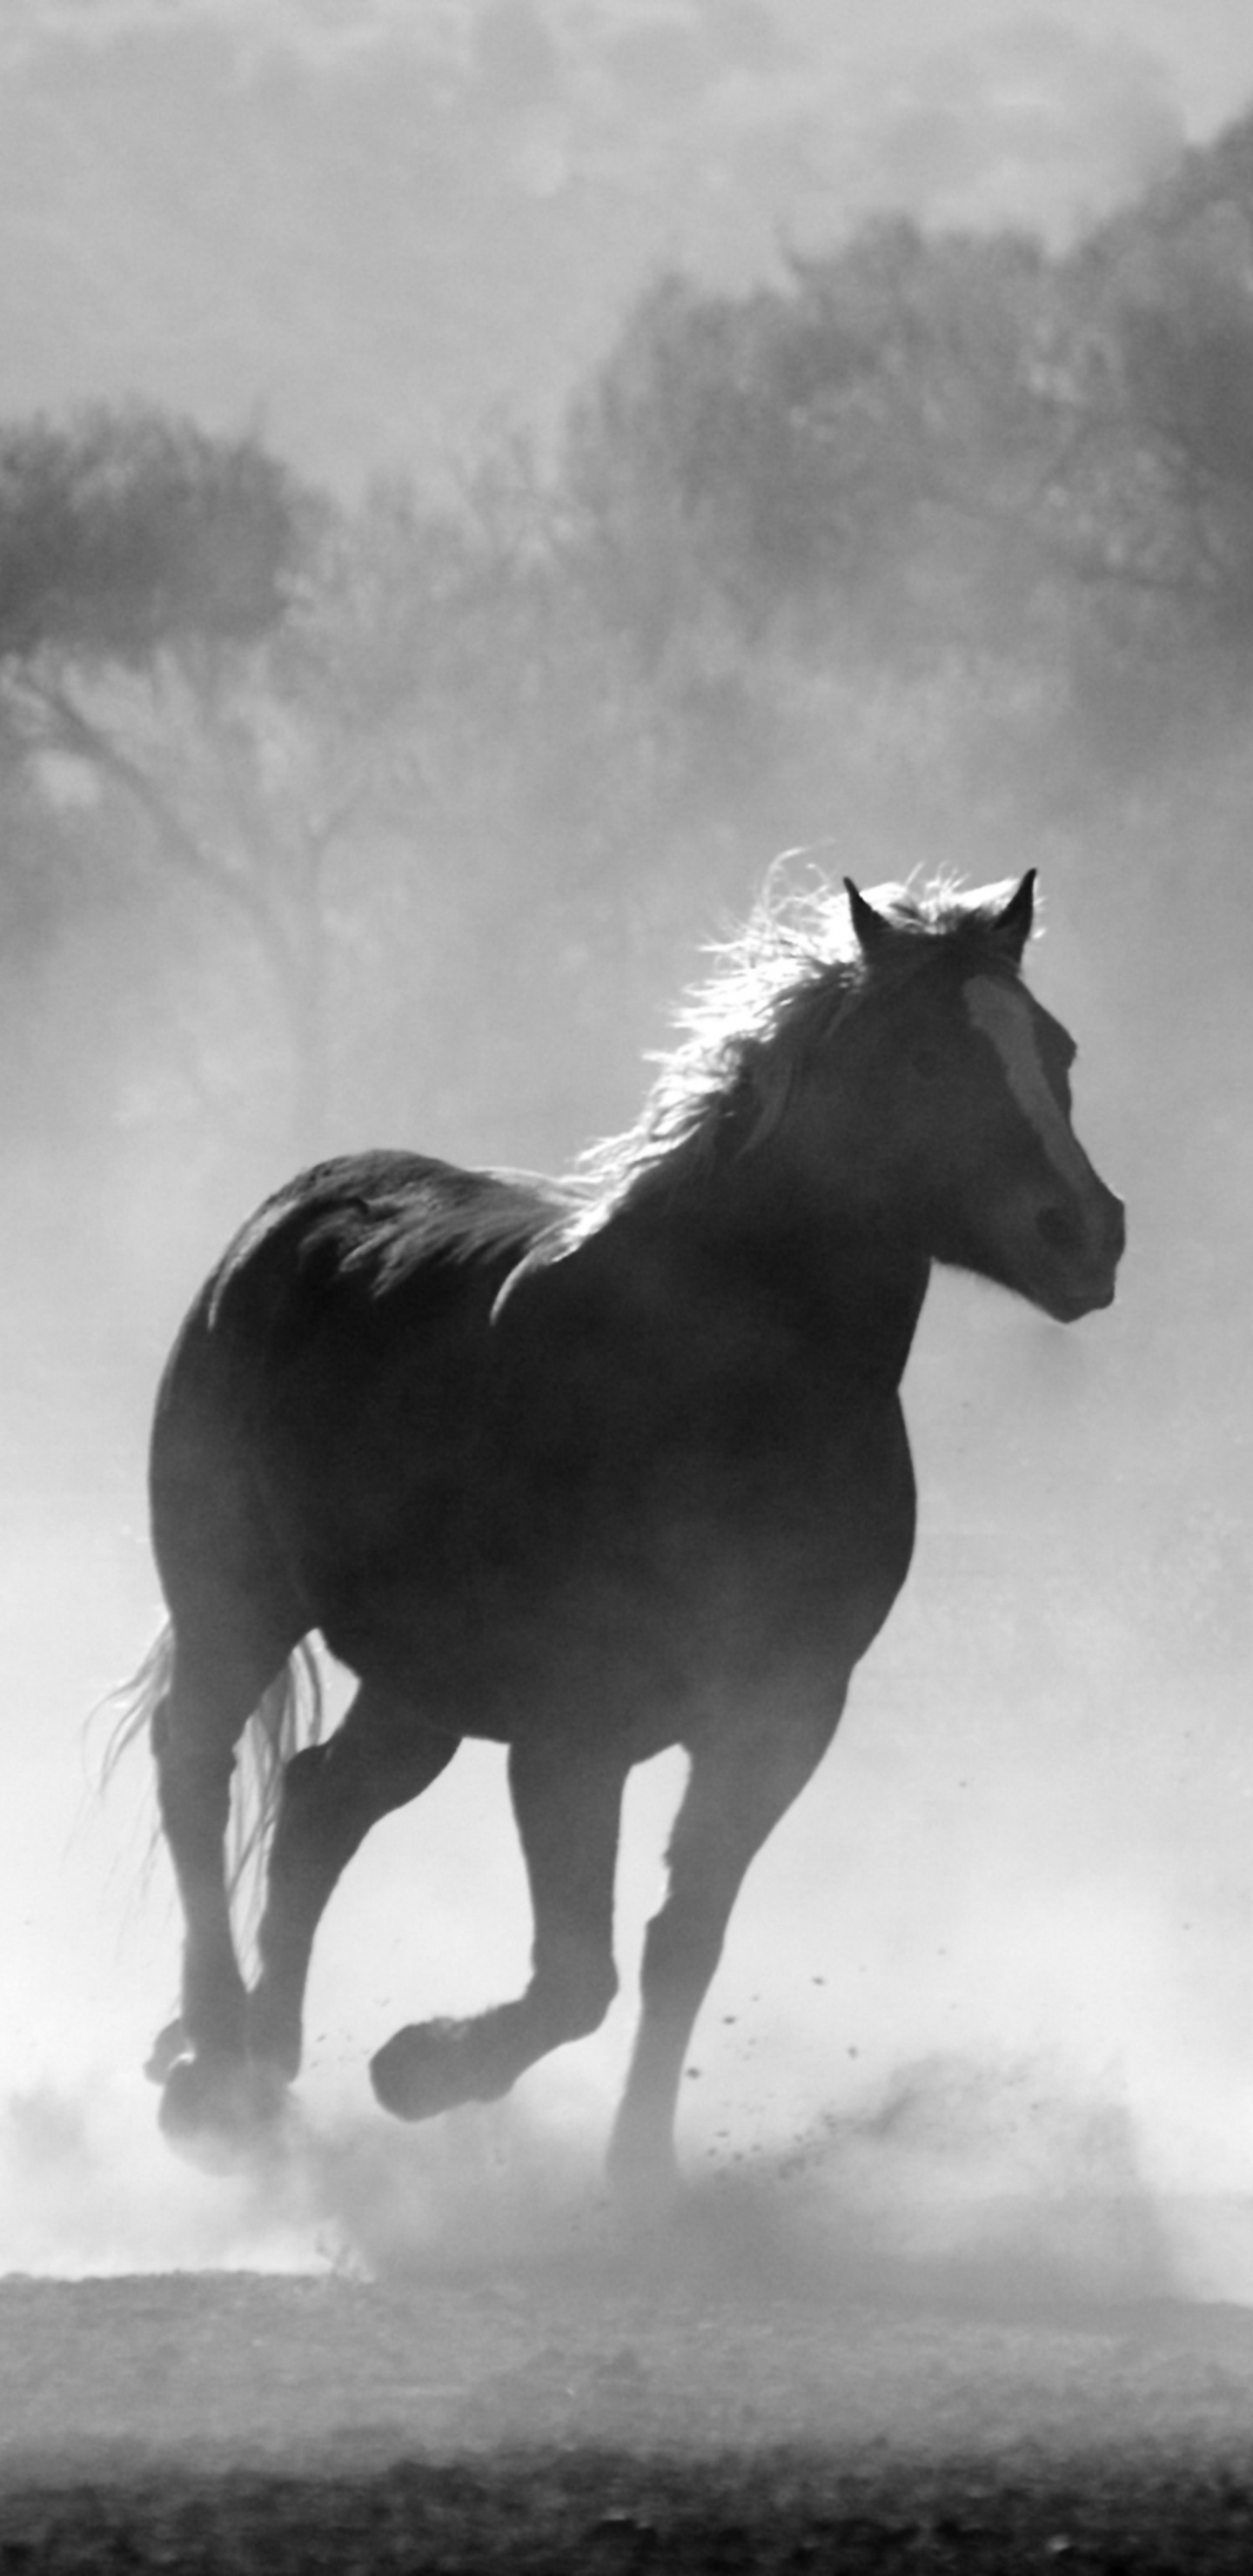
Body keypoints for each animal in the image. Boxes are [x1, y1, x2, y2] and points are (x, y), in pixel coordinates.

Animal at [109, 866, 1124, 2205]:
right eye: (922, 1058)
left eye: (1055, 1049)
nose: (1088, 1234)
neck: (720, 1392)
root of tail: (289, 1216)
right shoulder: (572, 1732)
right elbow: (577, 1974)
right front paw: (420, 2068)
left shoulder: (779, 1717)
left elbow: (680, 1943)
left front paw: (639, 2176)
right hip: (237, 1600)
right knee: (197, 1767)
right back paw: (217, 2066)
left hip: (419, 1682)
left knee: (319, 1802)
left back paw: (267, 2067)